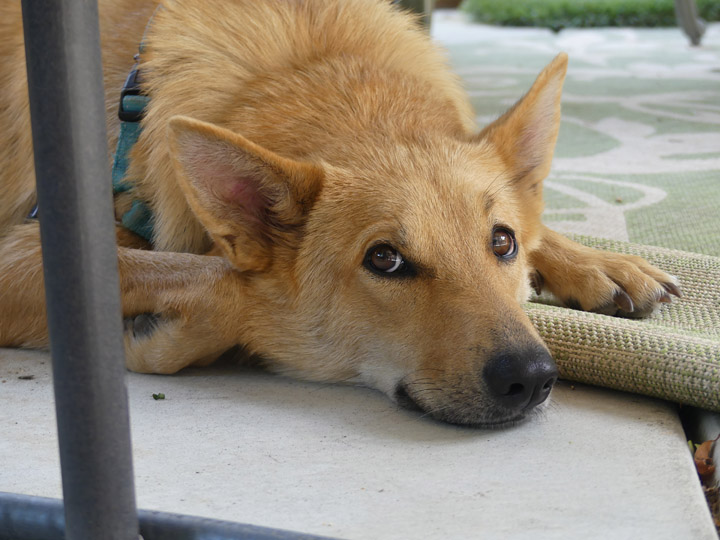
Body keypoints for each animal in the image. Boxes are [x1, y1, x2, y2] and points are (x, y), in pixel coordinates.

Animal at [0, 2, 676, 428]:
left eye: (502, 242)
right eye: (385, 259)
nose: (532, 377)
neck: (315, 69)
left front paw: (597, 262)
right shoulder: (24, 251)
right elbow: (221, 282)